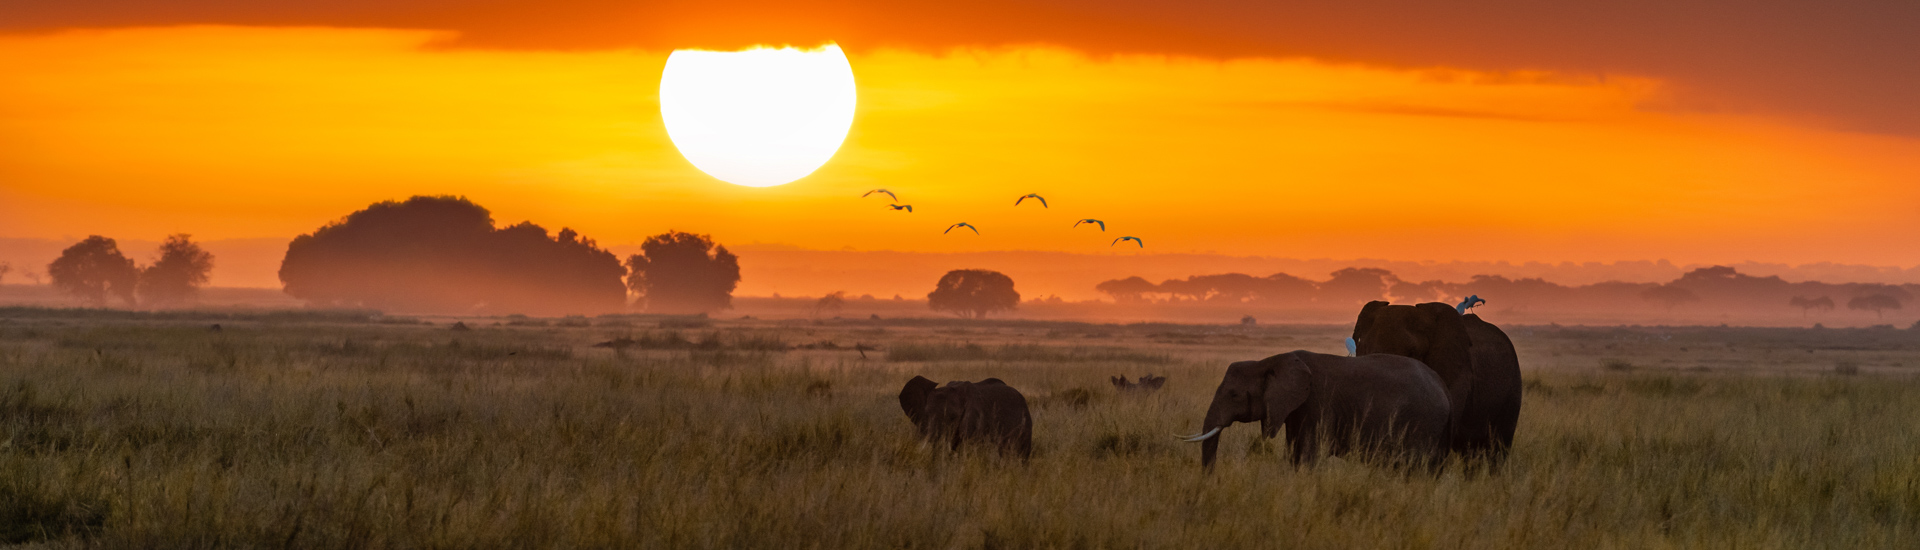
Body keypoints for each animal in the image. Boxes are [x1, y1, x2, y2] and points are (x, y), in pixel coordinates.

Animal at [1175, 350, 1443, 471]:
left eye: (1234, 395)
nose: (1210, 479)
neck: (1271, 361)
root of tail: (1443, 389)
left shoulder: (1318, 404)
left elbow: (1307, 455)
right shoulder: (1295, 409)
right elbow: (1294, 453)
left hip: (1421, 423)